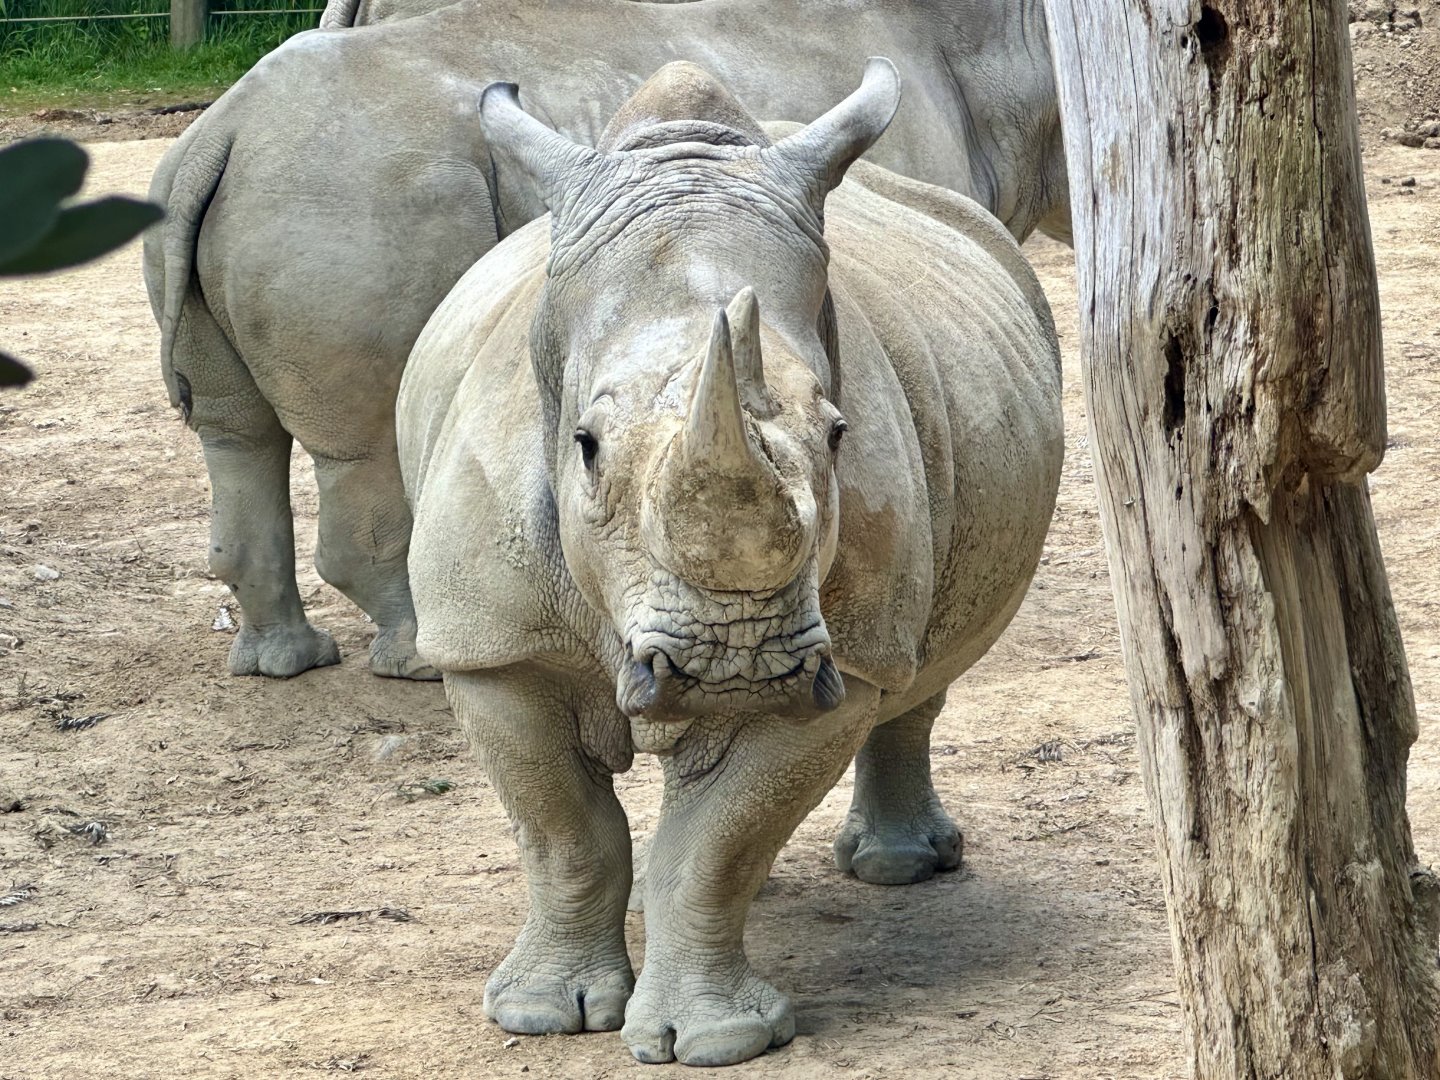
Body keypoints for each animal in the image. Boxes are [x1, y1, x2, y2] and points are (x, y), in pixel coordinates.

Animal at [143, 0, 1066, 681]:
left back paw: (286, 661)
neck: (1013, 43)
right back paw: (423, 664)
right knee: (364, 445)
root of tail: (219, 129)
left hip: (257, 192)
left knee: (234, 431)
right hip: (355, 197)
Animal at [395, 59, 1062, 1066]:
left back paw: (898, 868)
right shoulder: (489, 639)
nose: (731, 666)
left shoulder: (842, 656)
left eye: (837, 436)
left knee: (922, 670)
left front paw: (713, 1041)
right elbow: (562, 829)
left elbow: (719, 846)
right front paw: (544, 1015)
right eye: (584, 444)